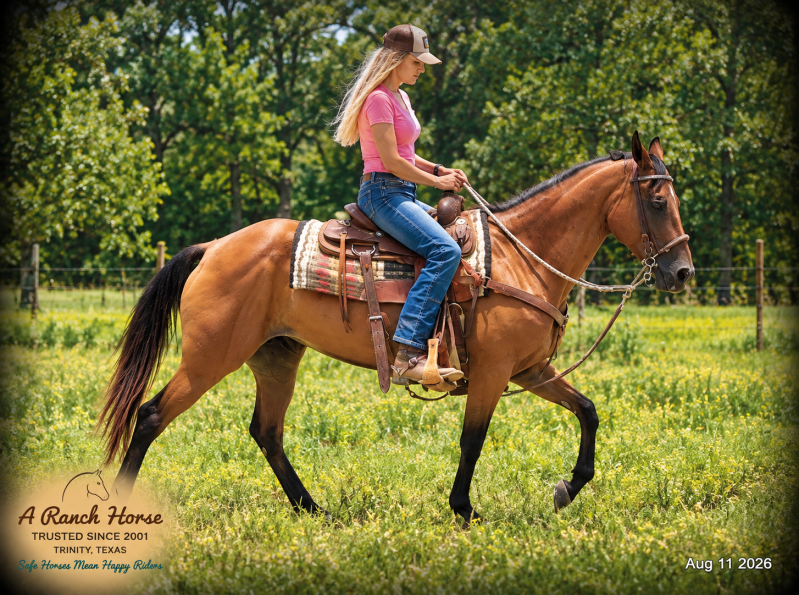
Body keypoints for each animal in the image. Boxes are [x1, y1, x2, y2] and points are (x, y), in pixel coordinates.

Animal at [99, 132, 693, 525]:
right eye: (658, 199)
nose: (682, 272)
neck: (520, 256)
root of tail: (214, 246)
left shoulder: (530, 369)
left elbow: (588, 410)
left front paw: (568, 488)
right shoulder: (494, 371)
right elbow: (473, 440)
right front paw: (464, 510)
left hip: (277, 356)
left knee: (266, 431)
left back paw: (314, 509)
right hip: (210, 357)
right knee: (150, 415)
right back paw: (125, 506)